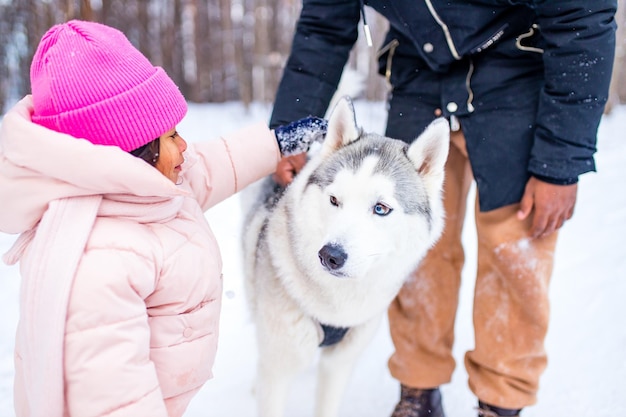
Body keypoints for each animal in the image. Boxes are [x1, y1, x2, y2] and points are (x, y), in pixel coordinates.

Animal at [240, 96, 448, 416]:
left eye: (381, 208)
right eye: (334, 199)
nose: (330, 256)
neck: (335, 307)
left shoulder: (339, 365)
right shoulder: (279, 366)